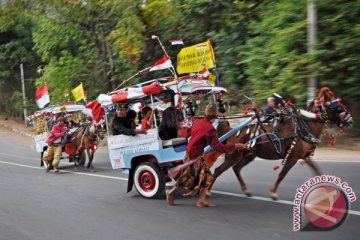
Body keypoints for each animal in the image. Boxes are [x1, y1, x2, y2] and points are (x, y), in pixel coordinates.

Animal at [207, 87, 352, 199]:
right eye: (337, 108)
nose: (351, 121)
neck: (303, 127)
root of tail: (233, 131)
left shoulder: (304, 155)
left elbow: (317, 171)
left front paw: (327, 190)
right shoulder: (293, 156)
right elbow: (282, 174)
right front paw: (273, 192)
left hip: (248, 155)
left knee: (236, 168)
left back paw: (245, 190)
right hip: (233, 155)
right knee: (219, 170)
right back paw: (207, 191)